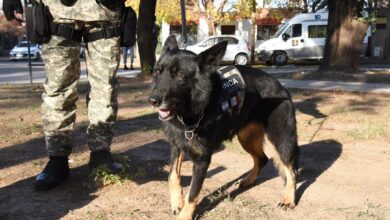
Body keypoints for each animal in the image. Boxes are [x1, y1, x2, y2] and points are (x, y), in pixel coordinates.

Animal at [148, 35, 300, 219]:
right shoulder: (178, 146)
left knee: (291, 171)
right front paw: (177, 202)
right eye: (157, 72)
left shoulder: (202, 160)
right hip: (246, 139)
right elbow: (172, 175)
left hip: (281, 141)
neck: (197, 108)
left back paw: (289, 200)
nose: (153, 101)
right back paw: (248, 180)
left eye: (180, 75)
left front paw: (184, 214)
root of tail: (282, 87)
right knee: (262, 159)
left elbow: (193, 193)